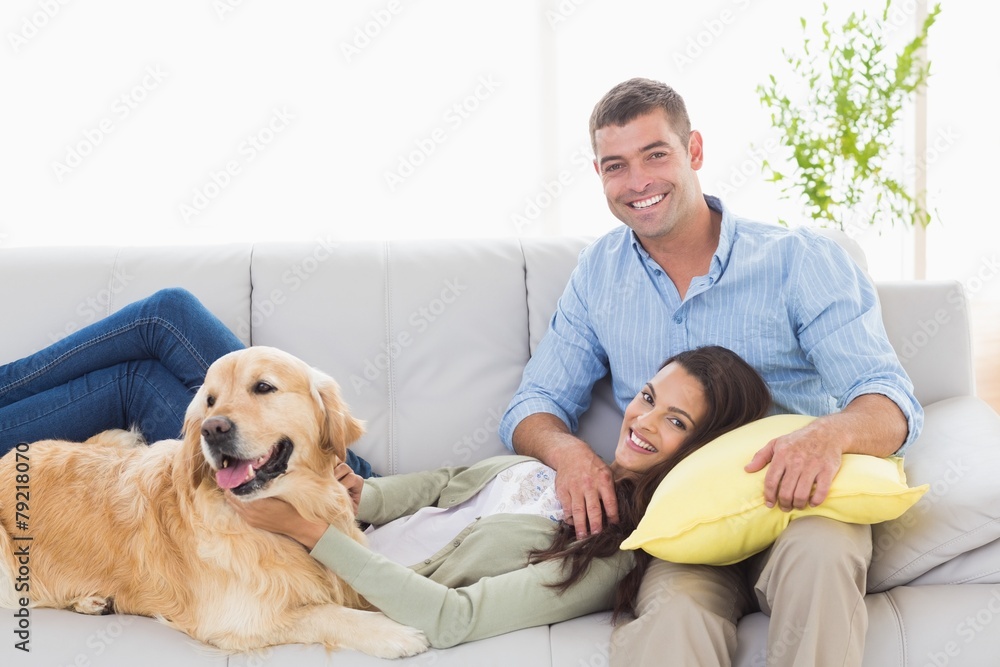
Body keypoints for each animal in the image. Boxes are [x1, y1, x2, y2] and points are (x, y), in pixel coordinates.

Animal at [0, 348, 426, 660]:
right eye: (209, 400)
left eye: (263, 387)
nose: (212, 428)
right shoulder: (241, 619)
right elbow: (325, 613)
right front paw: (392, 632)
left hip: (121, 436)